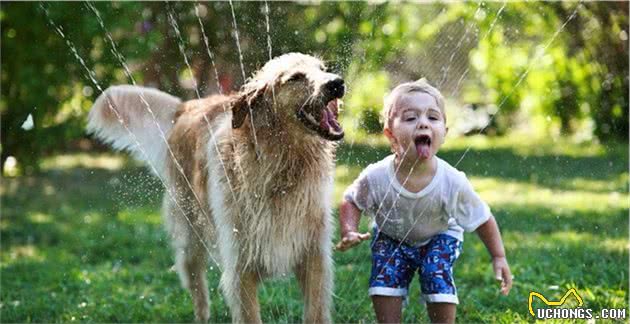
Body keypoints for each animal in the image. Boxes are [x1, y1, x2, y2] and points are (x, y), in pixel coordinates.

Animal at [86, 52, 346, 322]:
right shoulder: (240, 266)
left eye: (322, 68)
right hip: (190, 235)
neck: (282, 168)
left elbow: (315, 312)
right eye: (295, 77)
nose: (337, 82)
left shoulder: (314, 257)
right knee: (197, 289)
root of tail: (186, 107)